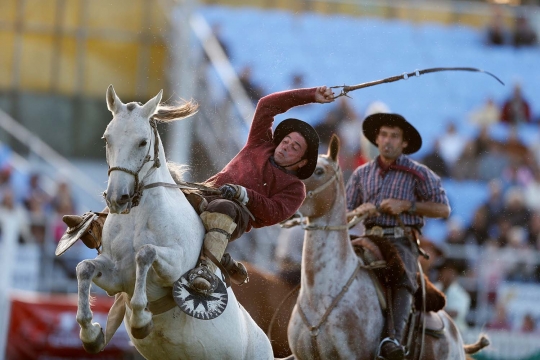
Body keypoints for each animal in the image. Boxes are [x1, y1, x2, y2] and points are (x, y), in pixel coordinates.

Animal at [76, 85, 274, 360]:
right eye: (107, 139)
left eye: (142, 142)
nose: (117, 198)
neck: (138, 220)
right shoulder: (115, 277)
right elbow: (84, 268)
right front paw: (91, 332)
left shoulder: (174, 267)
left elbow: (145, 253)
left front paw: (141, 319)